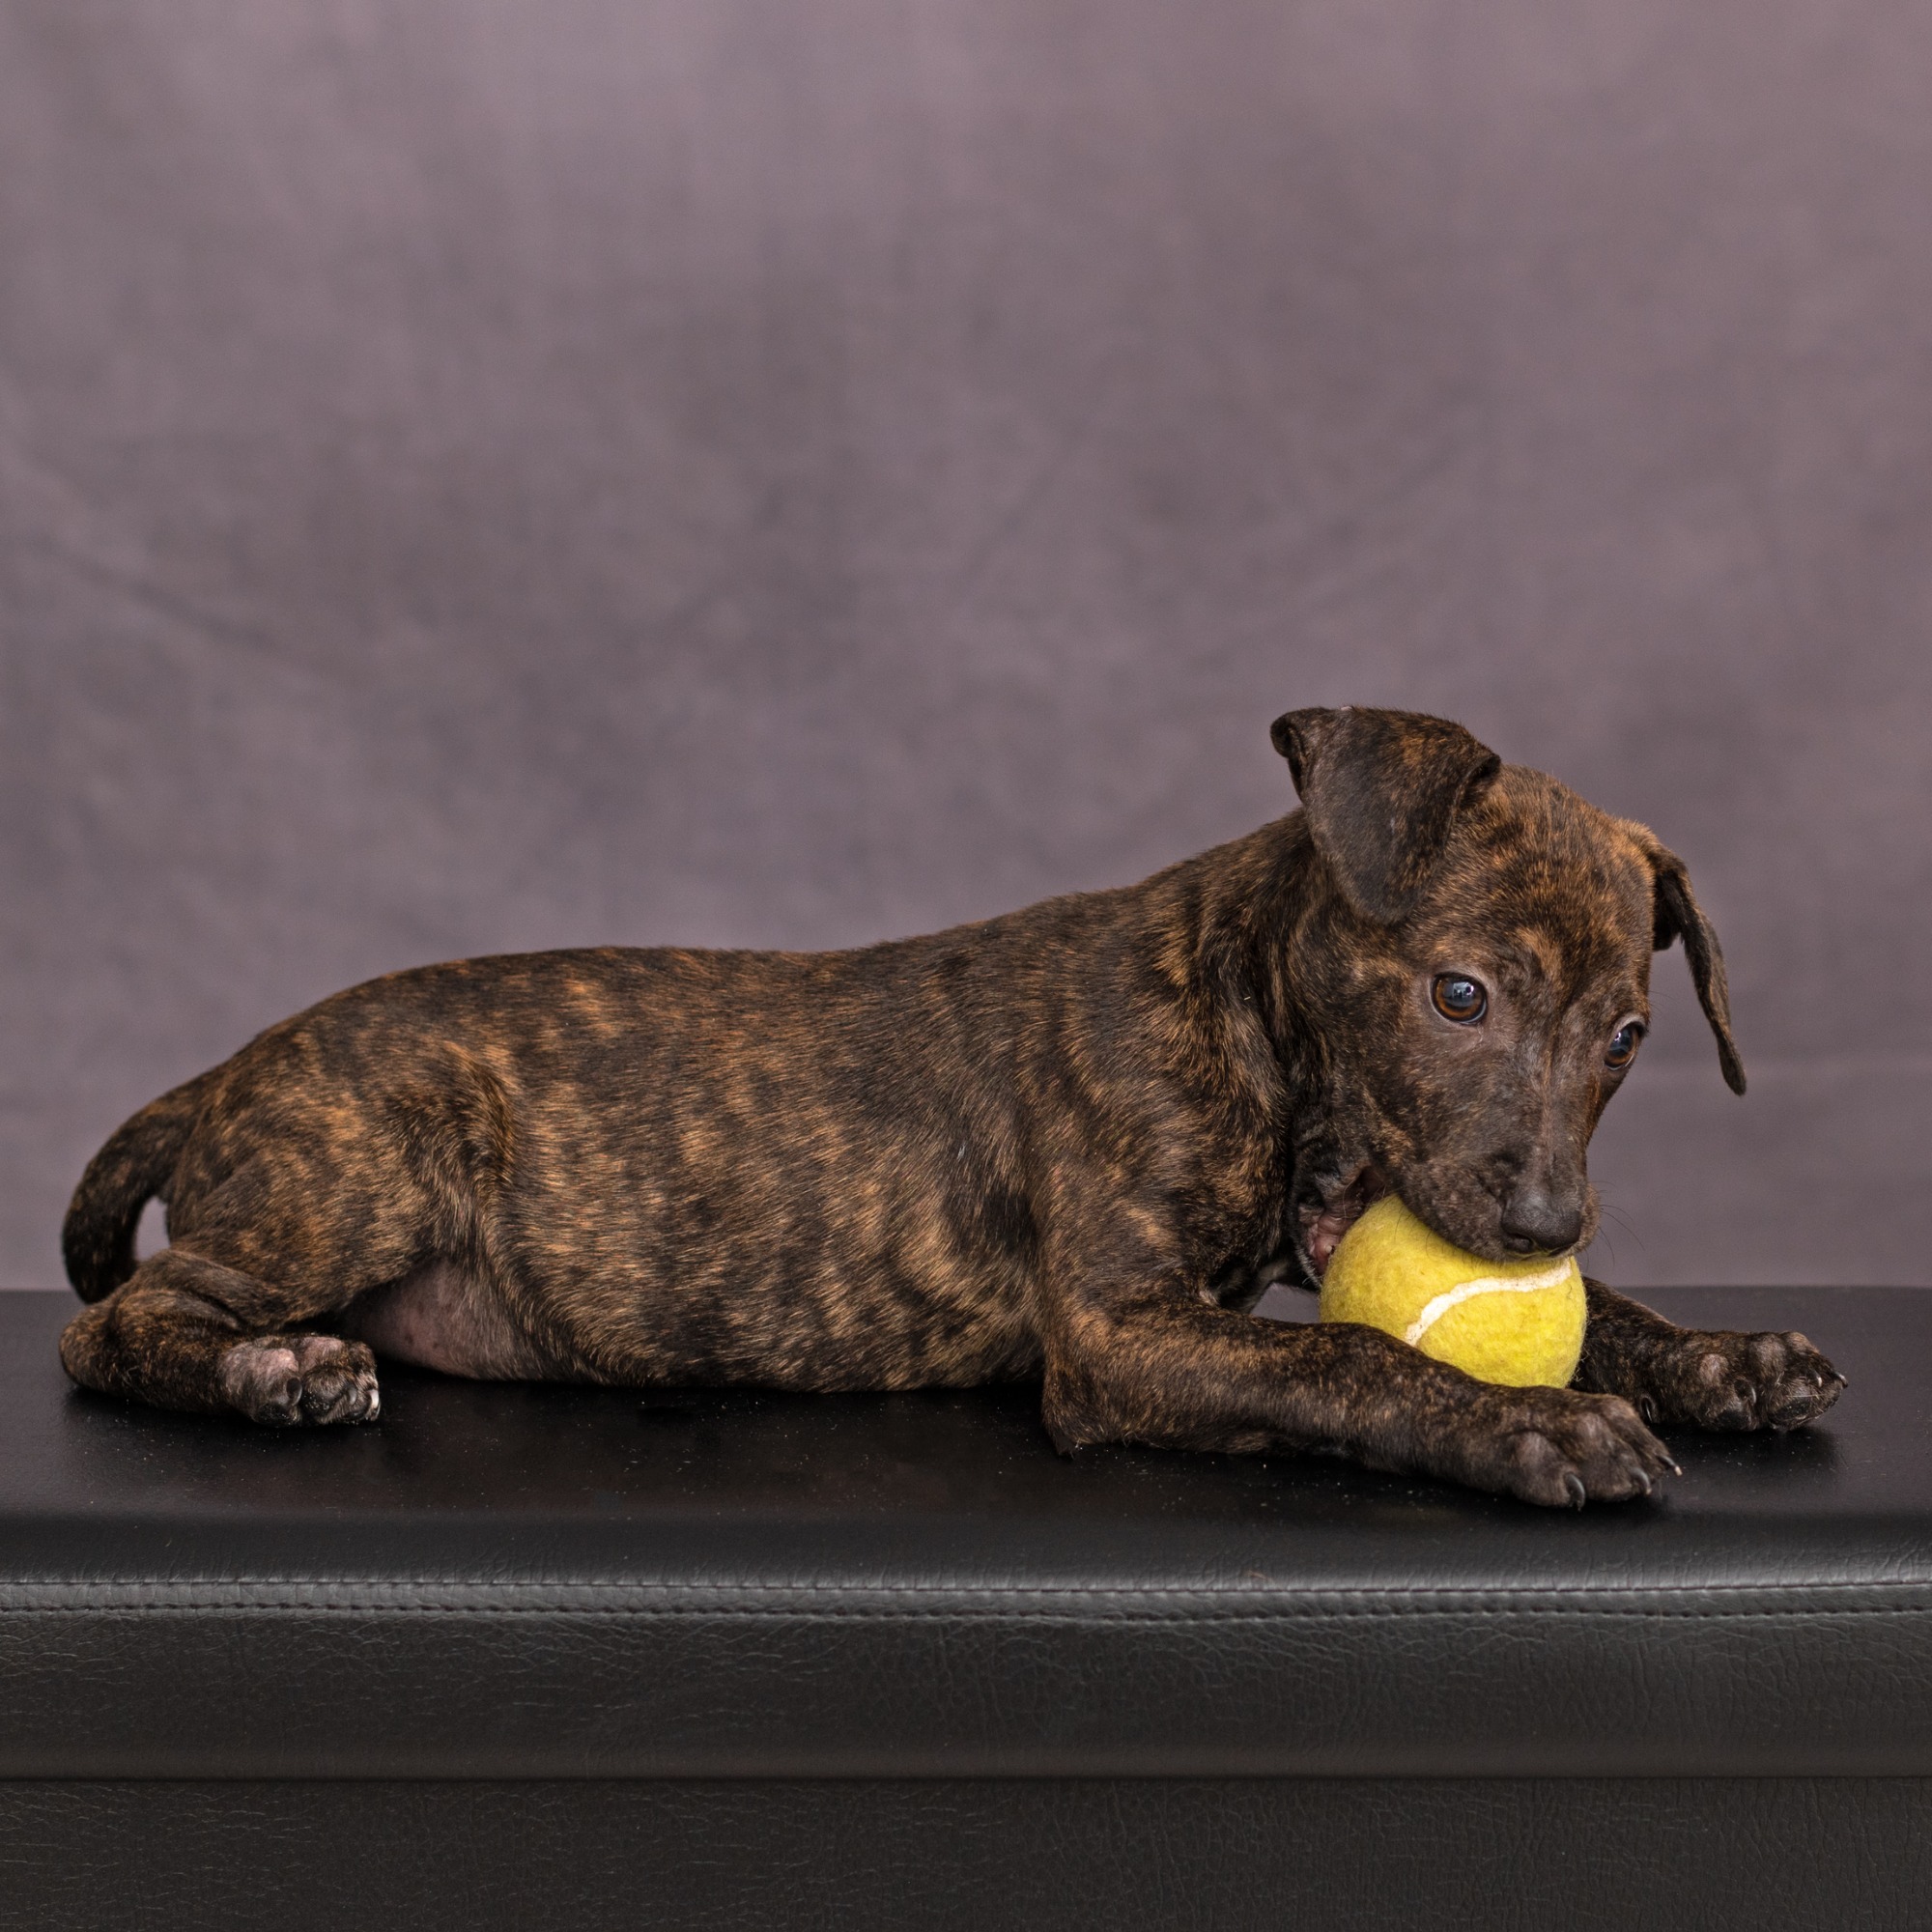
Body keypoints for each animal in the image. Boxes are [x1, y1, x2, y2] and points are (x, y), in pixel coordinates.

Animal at [59, 705, 1844, 1506]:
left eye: (1628, 1036)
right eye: (1459, 996)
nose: (1540, 1225)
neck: (1246, 1014)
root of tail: (225, 1069)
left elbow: (1600, 1315)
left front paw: (1717, 1357)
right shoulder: (1118, 1342)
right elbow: (1354, 1364)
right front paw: (1529, 1423)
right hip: (365, 1167)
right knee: (111, 1326)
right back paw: (276, 1375)